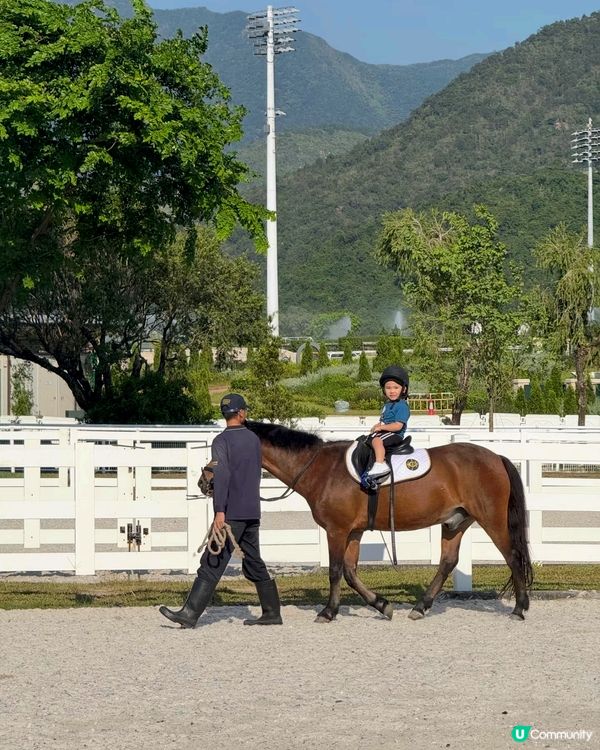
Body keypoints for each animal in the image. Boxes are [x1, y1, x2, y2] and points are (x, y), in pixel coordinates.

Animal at [200, 420, 533, 623]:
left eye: (221, 451)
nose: (204, 482)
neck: (320, 469)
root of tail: (496, 457)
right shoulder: (354, 532)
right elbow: (350, 572)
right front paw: (382, 605)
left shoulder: (337, 531)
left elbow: (335, 571)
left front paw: (328, 611)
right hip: (455, 522)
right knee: (448, 562)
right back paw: (420, 607)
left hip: (491, 521)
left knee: (512, 556)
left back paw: (519, 608)